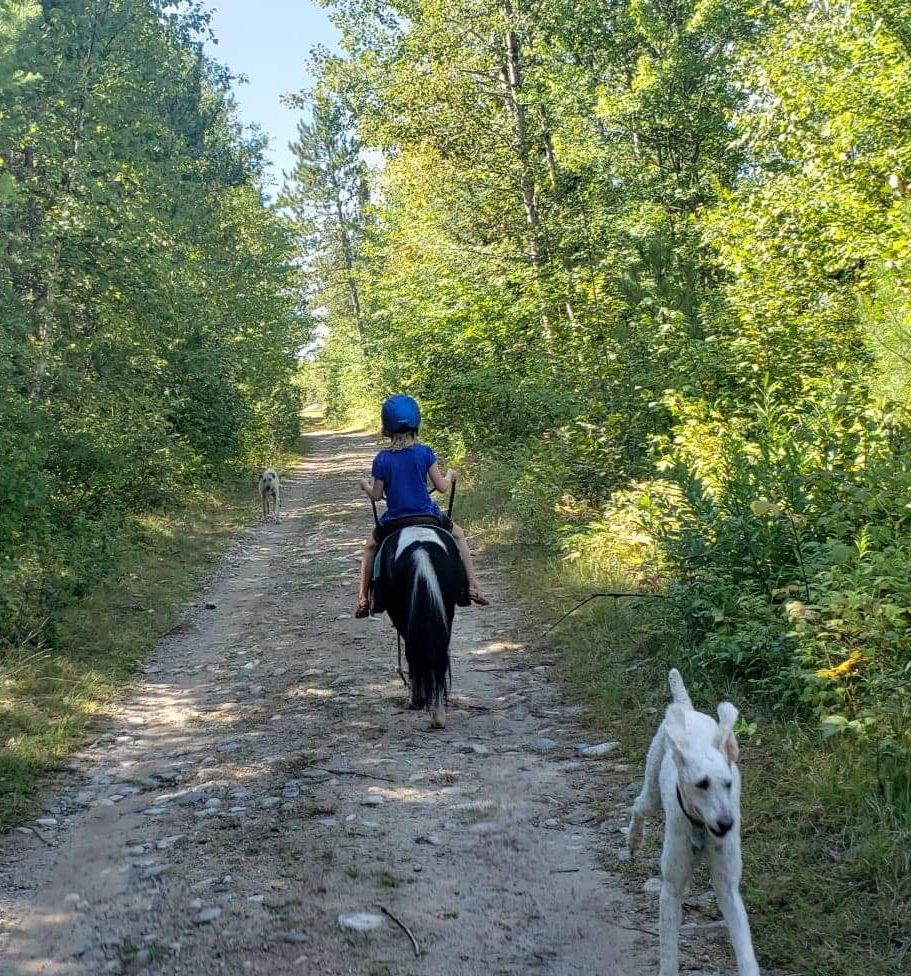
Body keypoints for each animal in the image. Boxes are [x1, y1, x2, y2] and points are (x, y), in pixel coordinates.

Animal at [375, 524, 467, 728]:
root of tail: (420, 549)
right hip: (446, 609)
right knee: (440, 656)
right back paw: (438, 715)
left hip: (402, 613)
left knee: (414, 652)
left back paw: (418, 701)